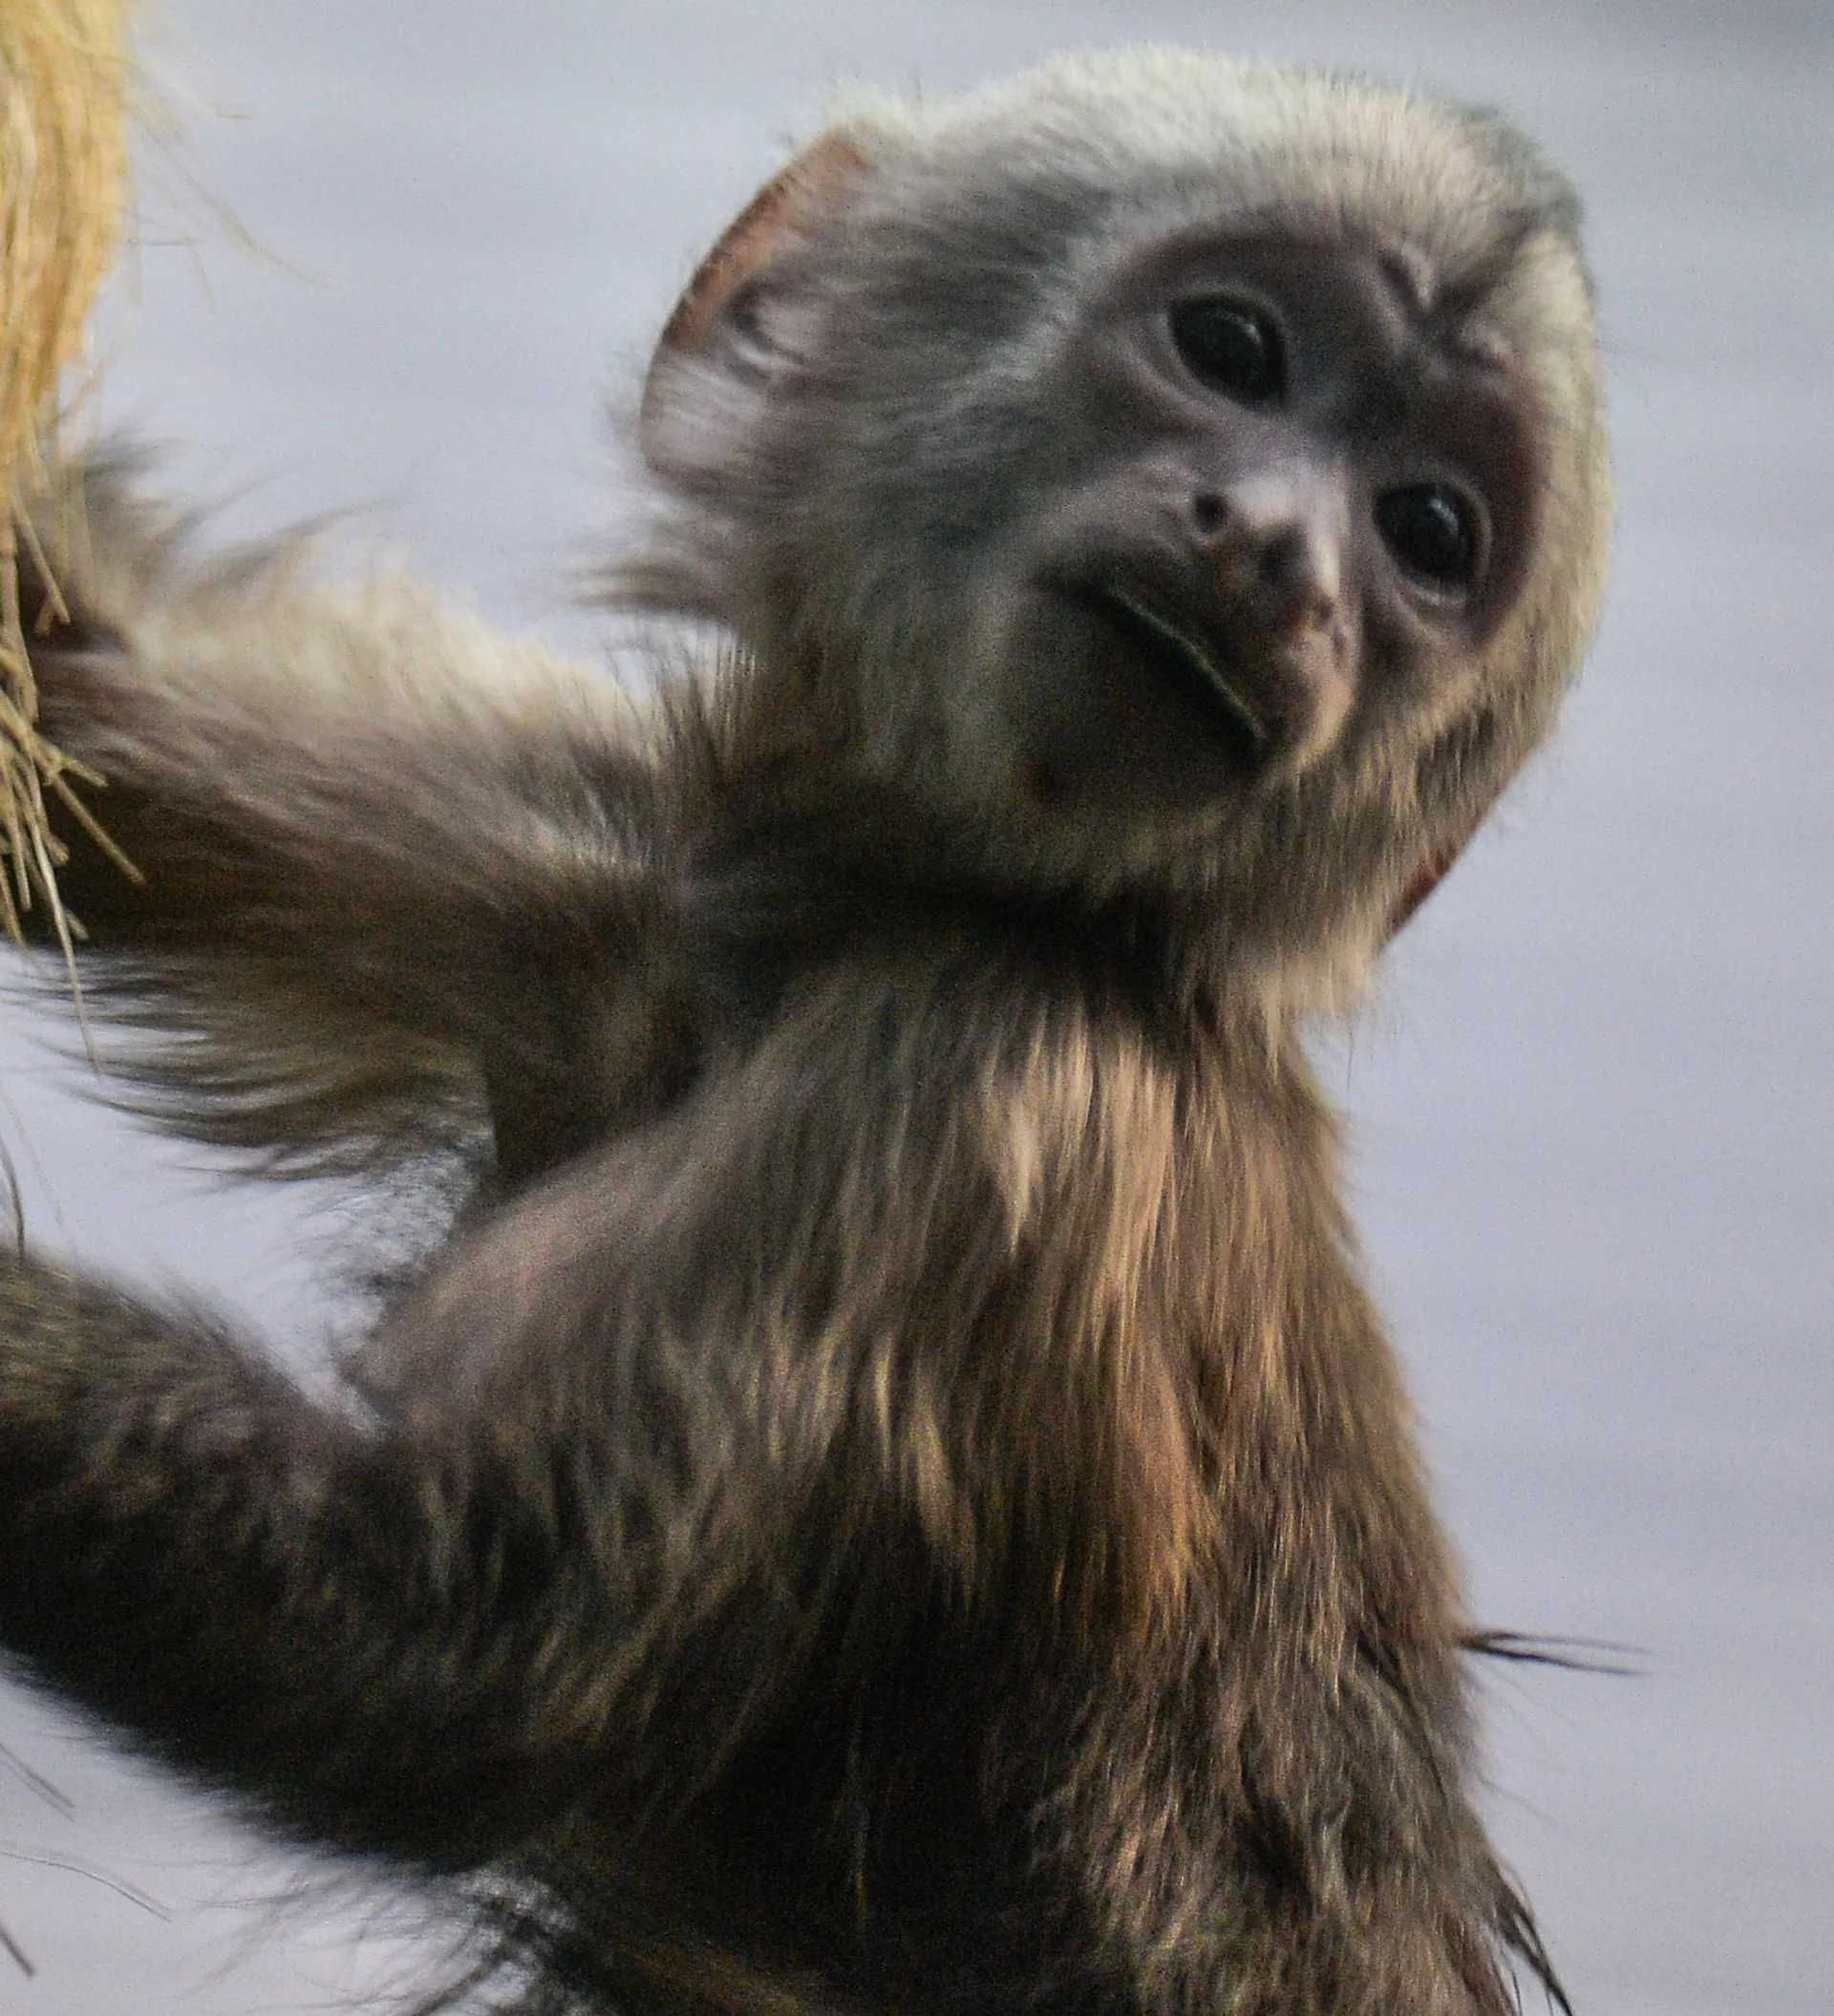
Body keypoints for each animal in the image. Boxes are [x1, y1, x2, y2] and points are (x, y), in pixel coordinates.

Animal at [0, 48, 1610, 2016]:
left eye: (1428, 536)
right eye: (1233, 348)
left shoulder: (999, 1078)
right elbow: (84, 701)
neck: (860, 908)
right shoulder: (601, 846)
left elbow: (454, 1651)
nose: (1294, 563)